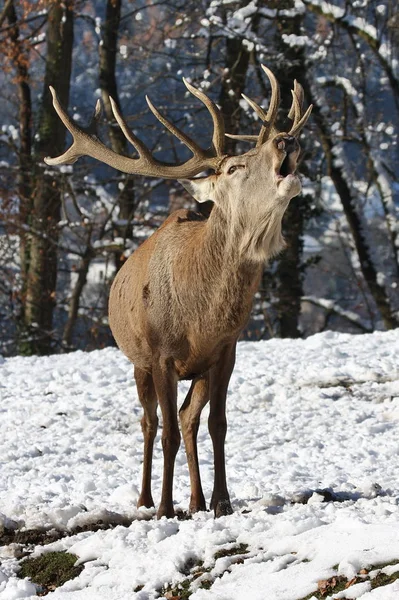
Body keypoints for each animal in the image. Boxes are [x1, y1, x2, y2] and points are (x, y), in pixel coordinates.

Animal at [44, 64, 312, 516]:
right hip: (138, 362)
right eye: (235, 167)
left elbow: (217, 424)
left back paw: (197, 500)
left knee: (189, 418)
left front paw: (222, 502)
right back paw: (148, 499)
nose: (285, 140)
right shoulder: (160, 355)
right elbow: (166, 431)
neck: (201, 315)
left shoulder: (225, 351)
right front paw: (166, 508)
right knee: (151, 423)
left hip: (194, 370)